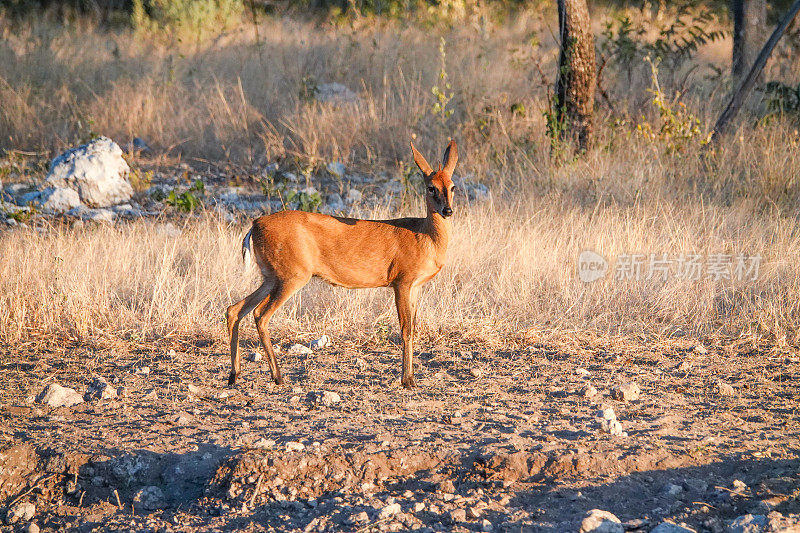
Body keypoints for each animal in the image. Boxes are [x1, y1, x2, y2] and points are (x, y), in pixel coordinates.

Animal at [225, 139, 460, 388]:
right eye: (431, 187)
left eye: (452, 186)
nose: (447, 210)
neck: (424, 237)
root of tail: (255, 224)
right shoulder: (402, 281)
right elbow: (405, 330)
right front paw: (407, 380)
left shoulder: (415, 287)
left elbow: (413, 328)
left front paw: (412, 378)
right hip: (292, 276)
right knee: (260, 314)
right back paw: (277, 376)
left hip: (271, 276)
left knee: (235, 309)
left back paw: (234, 375)